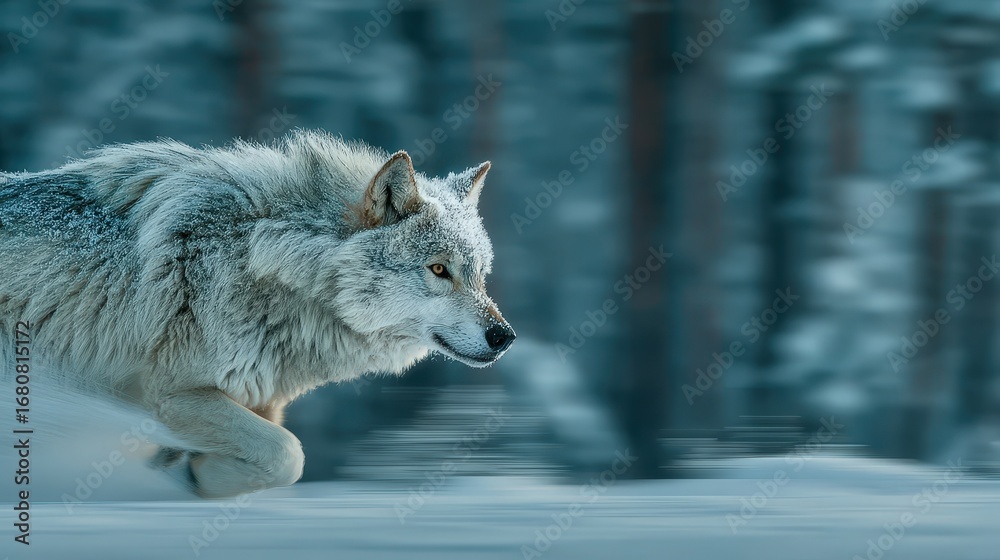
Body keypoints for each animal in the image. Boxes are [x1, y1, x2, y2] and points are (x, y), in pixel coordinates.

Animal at [0, 130, 515, 497]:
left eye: (479, 275)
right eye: (438, 269)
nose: (504, 336)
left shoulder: (263, 400)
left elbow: (278, 461)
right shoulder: (175, 395)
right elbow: (289, 455)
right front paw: (192, 478)